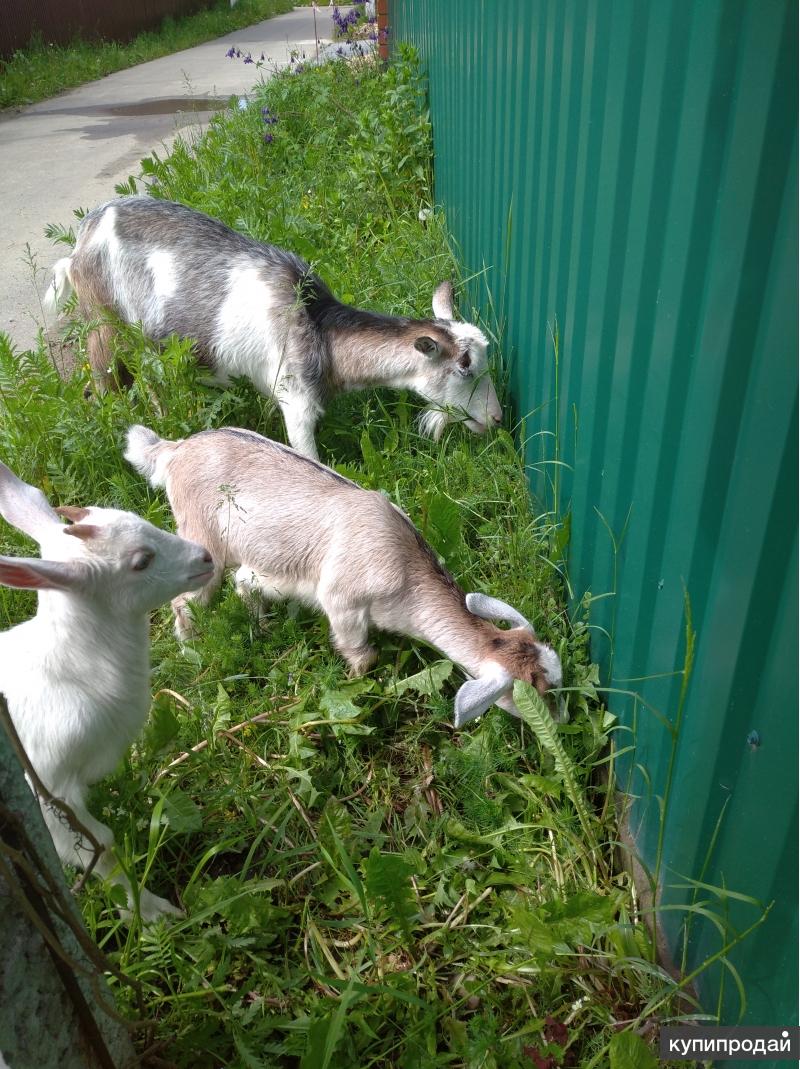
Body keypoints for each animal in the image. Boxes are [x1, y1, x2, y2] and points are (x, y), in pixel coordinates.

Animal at [0, 461, 214, 920]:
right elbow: (101, 847)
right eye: (141, 561)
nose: (205, 556)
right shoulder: (45, 789)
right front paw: (150, 913)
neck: (68, 671)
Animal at [45, 196, 503, 460]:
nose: (497, 418)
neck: (319, 329)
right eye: (465, 368)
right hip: (103, 322)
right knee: (109, 377)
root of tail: (82, 238)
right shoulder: (295, 401)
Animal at [125, 424, 565, 727]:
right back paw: (190, 648)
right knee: (185, 598)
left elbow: (248, 583)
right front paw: (353, 690)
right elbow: (362, 655)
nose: (563, 721)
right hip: (200, 538)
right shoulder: (342, 601)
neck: (404, 569)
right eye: (539, 691)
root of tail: (175, 449)